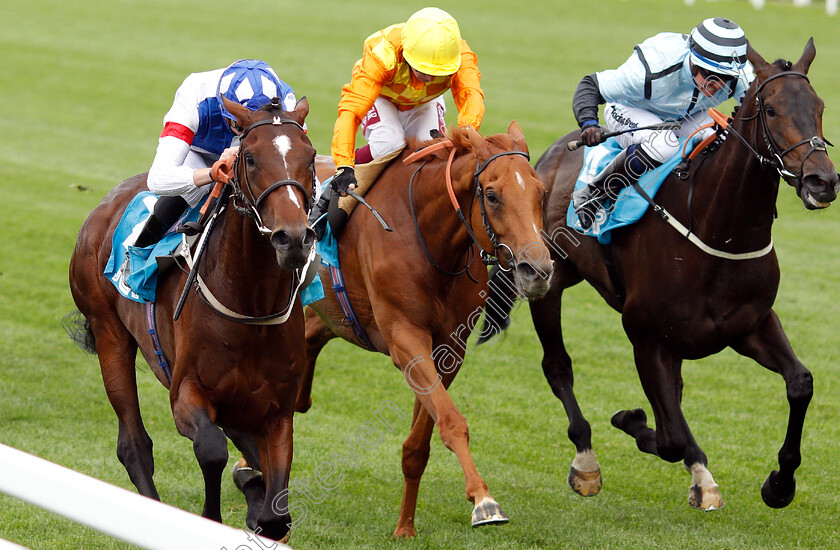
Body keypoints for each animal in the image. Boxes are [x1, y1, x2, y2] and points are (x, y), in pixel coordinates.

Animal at [68, 97, 318, 540]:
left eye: (310, 157)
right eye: (249, 158)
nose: (292, 238)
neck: (250, 306)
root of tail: (105, 205)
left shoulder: (278, 413)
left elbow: (276, 508)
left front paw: (260, 505)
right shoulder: (186, 392)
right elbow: (212, 449)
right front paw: (210, 519)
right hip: (110, 334)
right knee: (134, 443)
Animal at [292, 125, 556, 540]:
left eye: (540, 192)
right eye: (492, 195)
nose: (538, 271)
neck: (431, 241)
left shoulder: (449, 348)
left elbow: (420, 443)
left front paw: (405, 527)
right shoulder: (406, 338)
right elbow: (451, 421)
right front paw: (484, 501)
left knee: (310, 341)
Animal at [476, 41, 836, 512]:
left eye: (820, 106)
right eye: (772, 110)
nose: (823, 180)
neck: (716, 229)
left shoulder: (751, 325)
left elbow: (800, 383)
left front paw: (780, 483)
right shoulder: (646, 338)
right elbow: (670, 438)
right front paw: (640, 427)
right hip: (547, 281)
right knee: (557, 366)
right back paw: (586, 461)